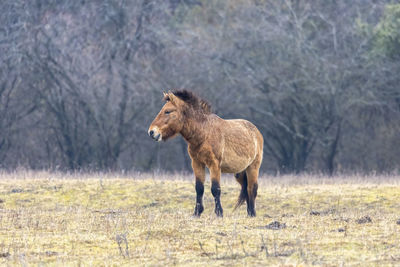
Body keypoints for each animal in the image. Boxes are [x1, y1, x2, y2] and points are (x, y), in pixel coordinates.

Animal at [147, 90, 262, 218]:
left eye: (167, 111)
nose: (151, 132)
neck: (204, 133)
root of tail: (256, 131)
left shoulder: (214, 165)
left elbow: (215, 189)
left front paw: (219, 213)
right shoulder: (197, 164)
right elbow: (199, 188)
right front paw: (197, 212)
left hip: (253, 167)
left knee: (252, 188)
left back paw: (252, 213)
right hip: (240, 173)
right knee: (246, 189)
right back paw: (249, 213)